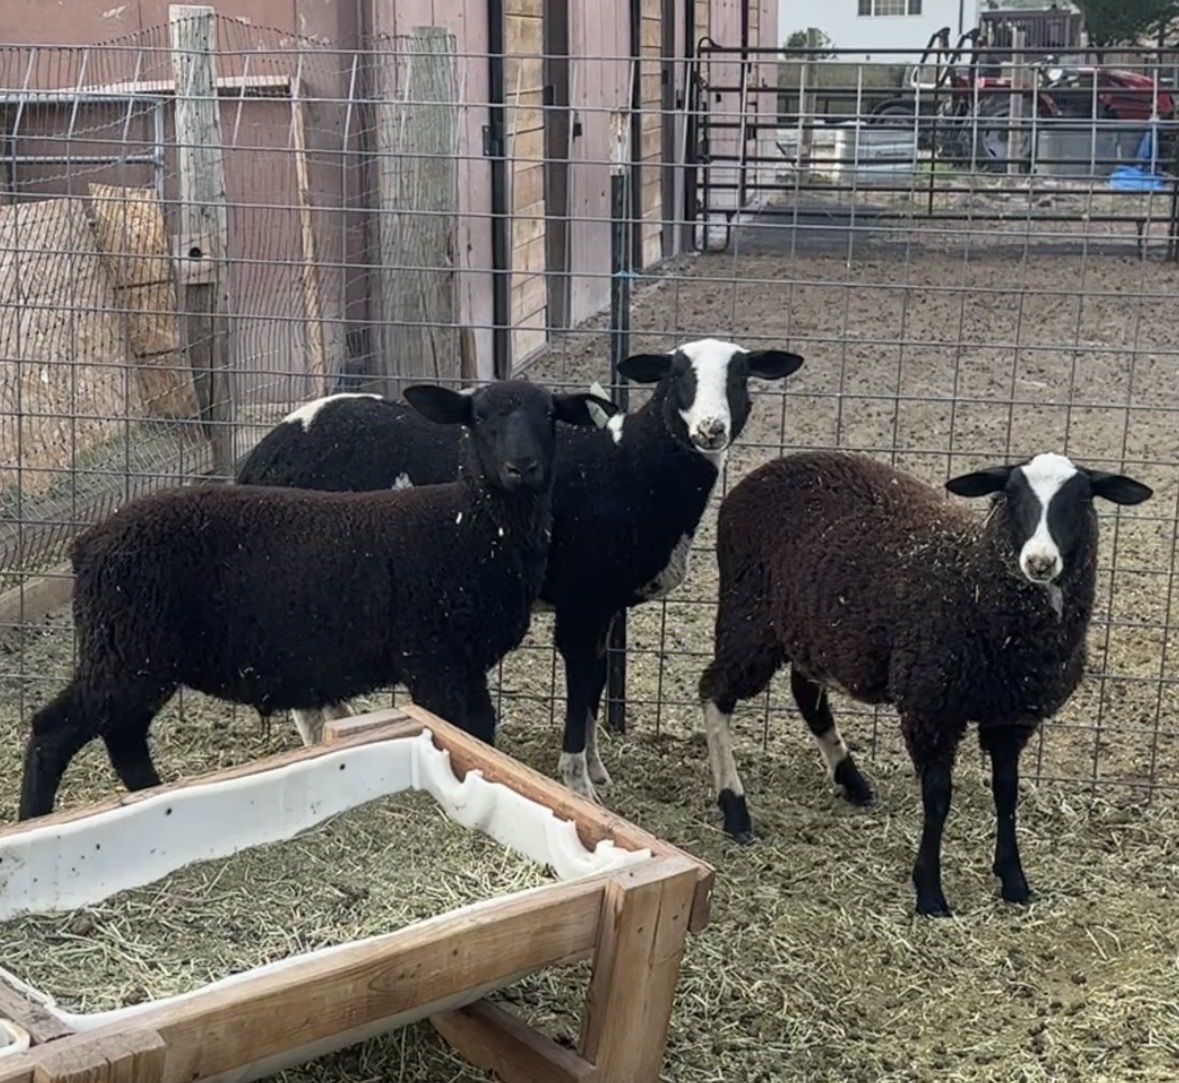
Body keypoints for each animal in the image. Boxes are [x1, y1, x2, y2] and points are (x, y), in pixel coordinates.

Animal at [17, 380, 612, 821]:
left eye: (549, 415)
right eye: (481, 416)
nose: (523, 467)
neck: (469, 527)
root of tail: (86, 546)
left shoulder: (463, 663)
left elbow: (481, 732)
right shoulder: (432, 657)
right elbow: (461, 731)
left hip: (137, 659)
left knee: (124, 737)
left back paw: (150, 796)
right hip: (124, 650)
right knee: (54, 732)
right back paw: (32, 821)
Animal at [235, 339, 805, 802]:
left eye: (740, 377)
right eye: (678, 375)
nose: (711, 430)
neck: (631, 467)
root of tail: (262, 454)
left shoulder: (602, 606)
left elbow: (596, 683)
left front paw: (596, 770)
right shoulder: (583, 602)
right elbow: (581, 684)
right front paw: (578, 782)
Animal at [698, 450, 1152, 916]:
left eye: (1081, 499)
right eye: (1010, 494)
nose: (1039, 563)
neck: (974, 585)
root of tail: (766, 470)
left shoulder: (1012, 718)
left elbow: (1006, 793)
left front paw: (1014, 881)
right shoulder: (930, 707)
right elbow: (938, 797)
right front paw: (930, 892)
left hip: (808, 629)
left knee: (806, 695)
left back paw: (852, 781)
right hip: (749, 615)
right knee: (715, 691)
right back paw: (735, 809)